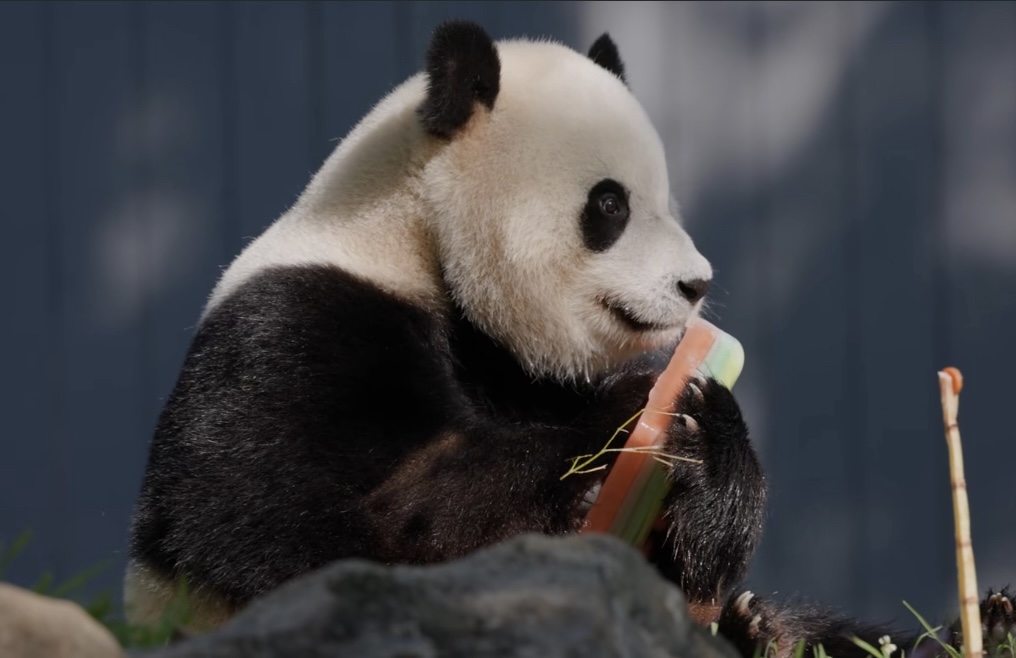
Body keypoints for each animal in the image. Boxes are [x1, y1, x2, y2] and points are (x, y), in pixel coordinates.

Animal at [125, 20, 1014, 657]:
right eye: (610, 204)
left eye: (668, 200)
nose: (695, 284)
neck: (417, 245)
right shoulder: (300, 324)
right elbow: (281, 519)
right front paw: (613, 439)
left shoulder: (528, 370)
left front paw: (701, 437)